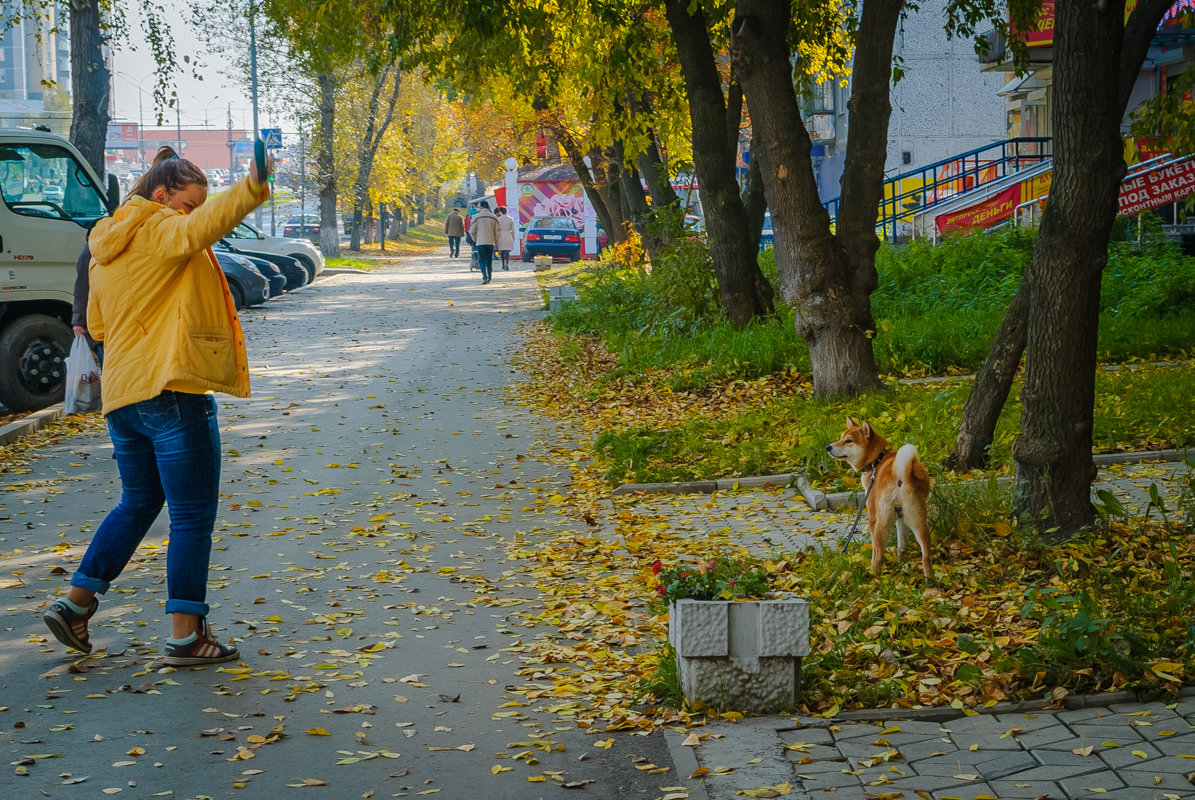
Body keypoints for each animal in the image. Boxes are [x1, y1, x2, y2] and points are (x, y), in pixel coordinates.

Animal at [822, 418, 932, 573]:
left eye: (848, 440)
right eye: (841, 438)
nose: (828, 447)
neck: (877, 461)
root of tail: (901, 477)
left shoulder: (873, 514)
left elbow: (875, 551)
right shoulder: (900, 517)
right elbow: (901, 546)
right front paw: (901, 566)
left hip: (881, 522)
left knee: (879, 554)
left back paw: (874, 575)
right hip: (918, 519)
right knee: (926, 556)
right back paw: (928, 579)